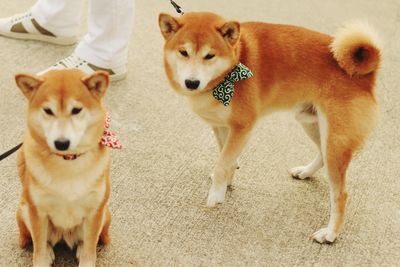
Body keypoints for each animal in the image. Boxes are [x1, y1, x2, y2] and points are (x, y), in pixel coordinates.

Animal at [15, 70, 111, 266]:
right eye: (48, 111)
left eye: (76, 110)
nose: (61, 143)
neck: (68, 162)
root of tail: (64, 235)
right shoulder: (38, 213)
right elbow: (38, 249)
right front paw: (42, 258)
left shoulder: (95, 212)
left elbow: (90, 249)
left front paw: (86, 257)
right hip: (25, 211)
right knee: (40, 242)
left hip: (105, 214)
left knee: (88, 241)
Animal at [159, 12, 382, 245]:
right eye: (183, 52)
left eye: (209, 56)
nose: (191, 82)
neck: (235, 61)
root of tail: (365, 72)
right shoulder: (221, 126)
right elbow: (226, 157)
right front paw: (228, 180)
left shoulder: (243, 126)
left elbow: (222, 162)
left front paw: (217, 194)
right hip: (312, 124)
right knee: (321, 154)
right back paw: (304, 172)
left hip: (335, 139)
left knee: (340, 195)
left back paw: (329, 234)